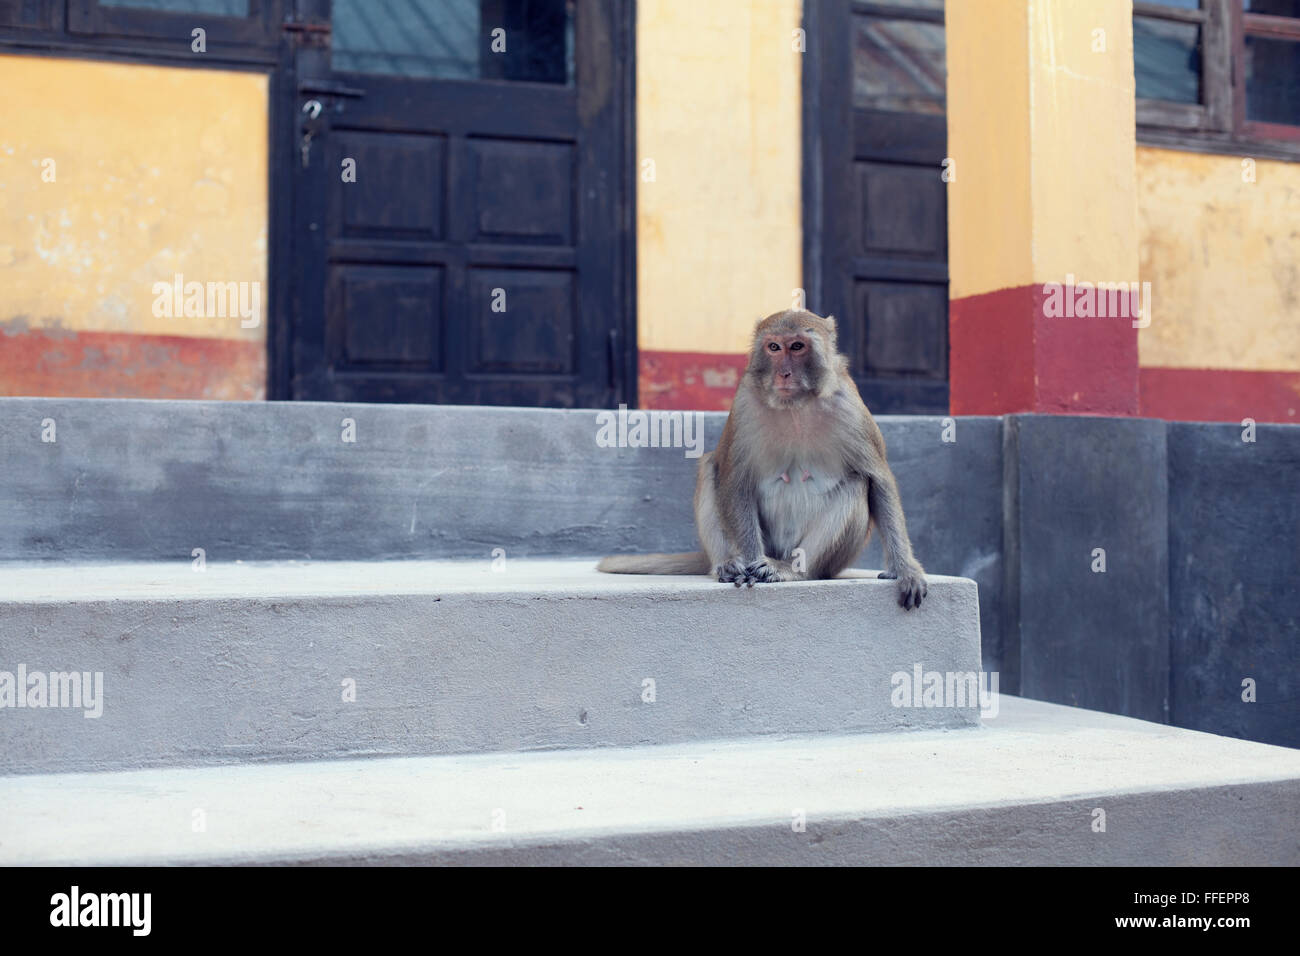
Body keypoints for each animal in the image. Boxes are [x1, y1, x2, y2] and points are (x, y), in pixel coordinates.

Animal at [598, 306, 925, 608]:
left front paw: (906, 569)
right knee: (710, 467)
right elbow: (735, 480)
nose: (783, 373)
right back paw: (728, 564)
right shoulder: (745, 404)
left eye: (797, 346)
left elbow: (878, 481)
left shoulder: (850, 407)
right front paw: (746, 564)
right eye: (774, 347)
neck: (796, 405)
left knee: (857, 485)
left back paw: (792, 570)